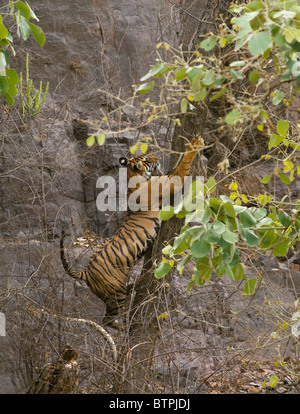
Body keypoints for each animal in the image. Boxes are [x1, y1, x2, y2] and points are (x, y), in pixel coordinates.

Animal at [60, 137, 204, 328]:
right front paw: (196, 144)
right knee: (108, 320)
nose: (157, 157)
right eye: (147, 159)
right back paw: (121, 328)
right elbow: (184, 164)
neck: (133, 177)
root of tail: (86, 273)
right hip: (116, 294)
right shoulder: (171, 180)